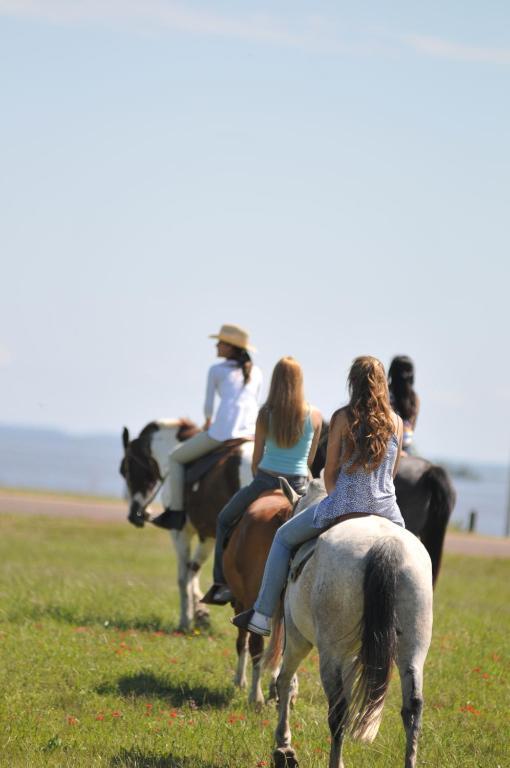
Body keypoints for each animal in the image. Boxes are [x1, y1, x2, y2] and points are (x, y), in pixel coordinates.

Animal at [120, 420, 255, 632]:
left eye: (125, 469)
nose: (135, 515)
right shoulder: (209, 536)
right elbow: (194, 569)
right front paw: (201, 614)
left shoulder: (180, 532)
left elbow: (183, 577)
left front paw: (186, 619)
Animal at [266, 480, 434, 768]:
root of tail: (387, 545)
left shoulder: (298, 638)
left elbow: (284, 682)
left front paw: (284, 747)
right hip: (413, 650)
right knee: (413, 707)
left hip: (328, 652)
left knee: (338, 711)